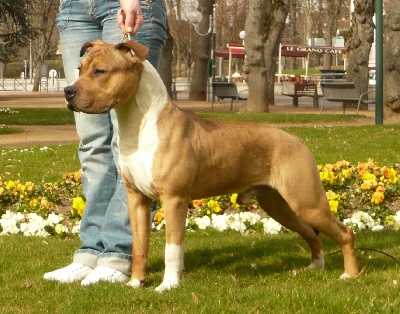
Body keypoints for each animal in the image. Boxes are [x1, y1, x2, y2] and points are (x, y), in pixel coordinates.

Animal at [65, 39, 360, 292]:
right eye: (79, 70)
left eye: (100, 71)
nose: (68, 91)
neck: (140, 125)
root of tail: (298, 140)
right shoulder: (136, 199)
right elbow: (139, 247)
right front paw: (136, 283)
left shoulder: (174, 199)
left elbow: (172, 248)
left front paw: (168, 285)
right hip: (279, 205)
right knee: (313, 234)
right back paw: (315, 267)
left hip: (306, 201)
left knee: (344, 232)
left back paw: (350, 274)